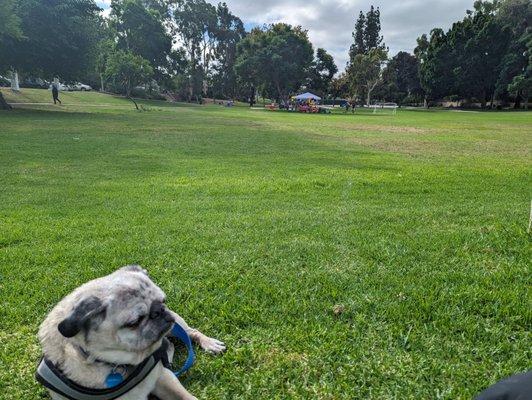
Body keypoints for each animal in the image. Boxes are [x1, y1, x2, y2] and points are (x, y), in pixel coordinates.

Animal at [38, 266, 225, 400]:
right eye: (134, 322)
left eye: (163, 300)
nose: (159, 310)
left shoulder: (164, 378)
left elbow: (186, 397)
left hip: (177, 324)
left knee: (191, 332)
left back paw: (210, 344)